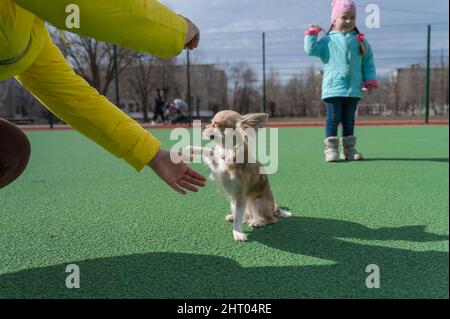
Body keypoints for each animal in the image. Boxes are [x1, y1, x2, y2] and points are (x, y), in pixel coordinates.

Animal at [187, 111, 290, 241]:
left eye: (215, 123)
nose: (203, 126)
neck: (228, 151)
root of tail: (273, 209)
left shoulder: (240, 195)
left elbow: (238, 218)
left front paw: (237, 233)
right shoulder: (218, 169)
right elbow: (209, 152)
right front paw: (191, 149)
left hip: (256, 203)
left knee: (271, 219)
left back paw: (258, 221)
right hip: (234, 203)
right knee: (245, 216)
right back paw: (235, 216)